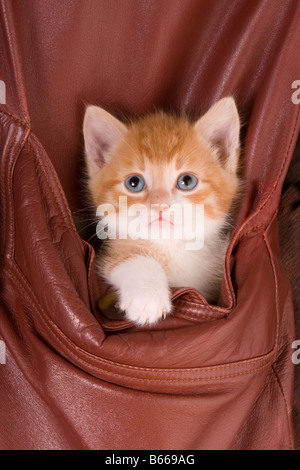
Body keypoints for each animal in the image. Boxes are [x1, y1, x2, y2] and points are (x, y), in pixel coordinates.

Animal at [82, 97, 241, 324]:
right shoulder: (111, 253)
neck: (172, 247)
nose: (160, 204)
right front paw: (147, 296)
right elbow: (127, 258)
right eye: (134, 183)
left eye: (187, 181)